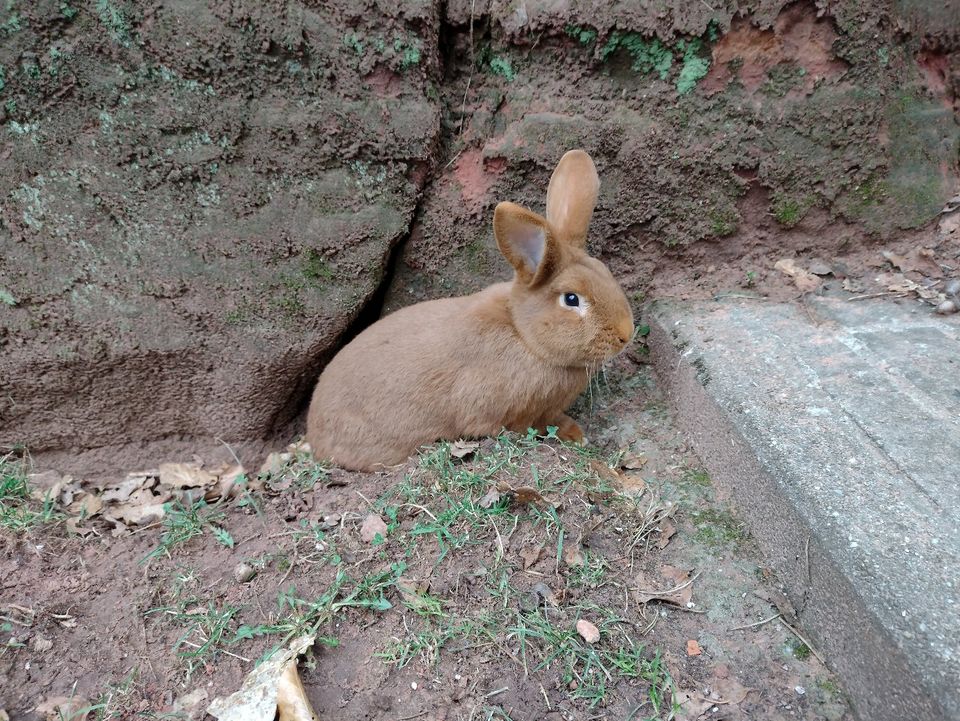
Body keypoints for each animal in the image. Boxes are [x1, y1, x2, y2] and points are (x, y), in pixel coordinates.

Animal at [308, 149, 632, 470]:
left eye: (606, 273)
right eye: (572, 299)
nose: (626, 335)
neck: (523, 334)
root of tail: (313, 430)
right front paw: (573, 435)